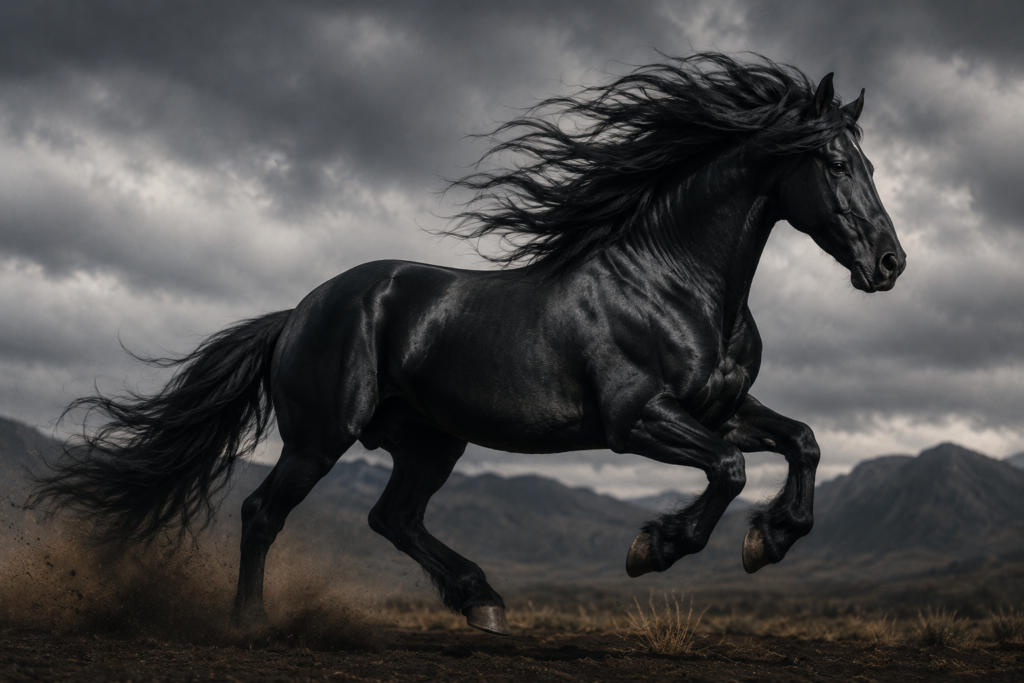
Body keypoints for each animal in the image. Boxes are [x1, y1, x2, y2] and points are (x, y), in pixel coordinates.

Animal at [34, 53, 905, 636]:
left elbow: (803, 440)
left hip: (429, 439)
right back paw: (250, 623)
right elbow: (727, 469)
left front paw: (771, 538)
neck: (674, 281)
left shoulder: (722, 405)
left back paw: (481, 599)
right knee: (261, 511)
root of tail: (300, 310)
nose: (890, 263)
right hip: (320, 436)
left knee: (392, 516)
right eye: (835, 161)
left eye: (870, 161)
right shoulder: (636, 419)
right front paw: (655, 545)